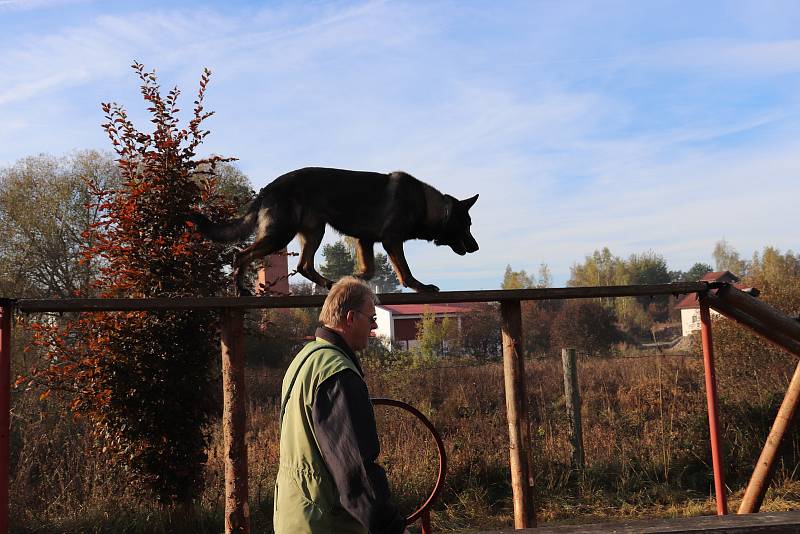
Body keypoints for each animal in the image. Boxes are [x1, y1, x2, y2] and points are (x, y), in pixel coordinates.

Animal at [189, 166, 476, 296]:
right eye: (467, 225)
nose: (476, 247)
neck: (430, 206)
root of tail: (268, 188)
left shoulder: (365, 241)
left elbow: (369, 270)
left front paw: (352, 278)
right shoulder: (391, 241)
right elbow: (405, 272)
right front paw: (421, 287)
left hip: (314, 233)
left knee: (304, 266)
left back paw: (329, 283)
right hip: (279, 235)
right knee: (240, 255)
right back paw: (241, 289)